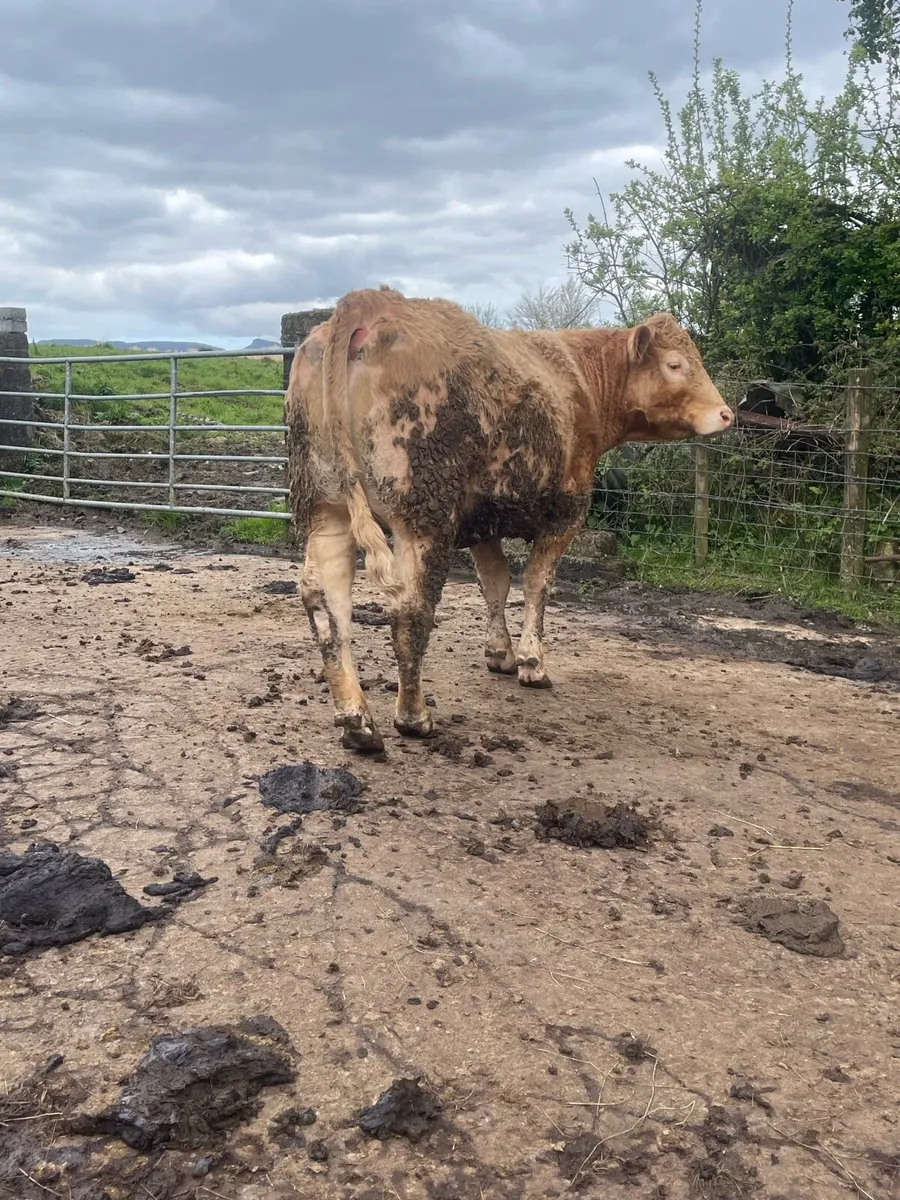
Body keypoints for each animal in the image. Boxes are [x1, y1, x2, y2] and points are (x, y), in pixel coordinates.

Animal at [285, 285, 733, 754]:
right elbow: (536, 583)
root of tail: (371, 302)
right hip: (422, 514)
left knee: (326, 602)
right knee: (410, 608)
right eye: (675, 364)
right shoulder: (567, 511)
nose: (726, 414)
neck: (580, 377)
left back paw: (358, 723)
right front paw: (532, 662)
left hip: (325, 508)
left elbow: (495, 583)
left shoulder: (482, 520)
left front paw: (499, 653)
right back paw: (413, 716)